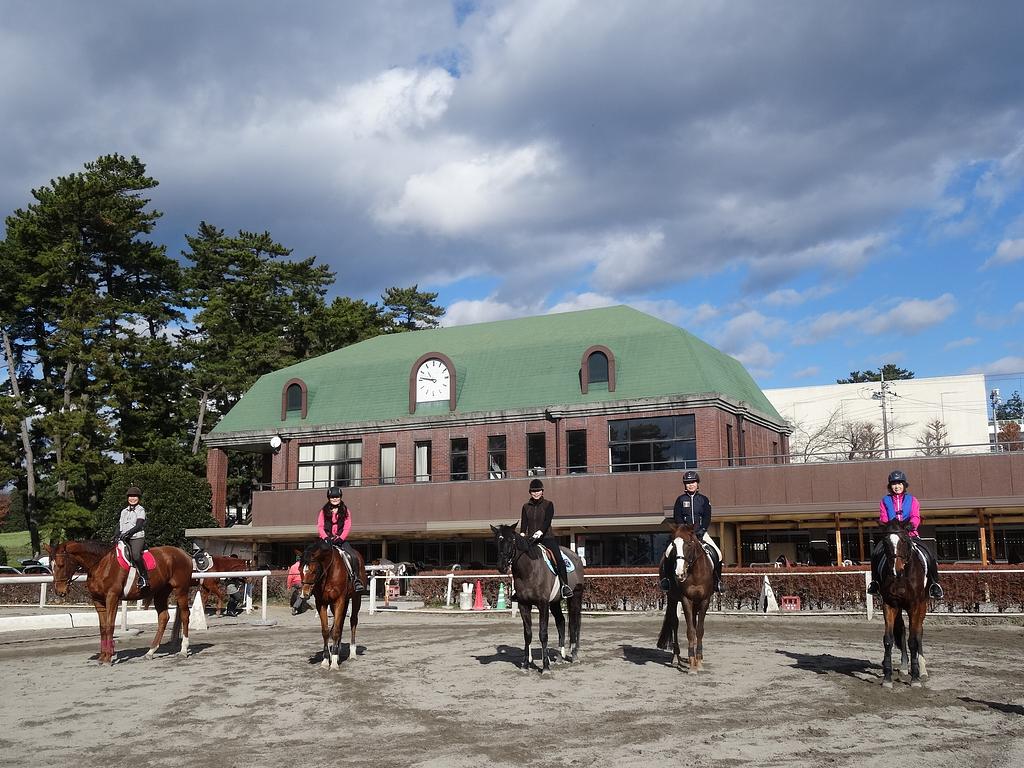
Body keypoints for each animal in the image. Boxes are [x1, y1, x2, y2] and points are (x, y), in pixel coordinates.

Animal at [49, 540, 193, 667]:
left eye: (61, 565)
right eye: (51, 566)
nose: (59, 591)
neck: (100, 564)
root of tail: (184, 553)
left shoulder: (112, 597)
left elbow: (109, 626)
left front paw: (108, 658)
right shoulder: (98, 600)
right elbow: (102, 628)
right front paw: (102, 657)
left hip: (181, 590)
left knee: (185, 615)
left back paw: (183, 650)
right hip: (161, 592)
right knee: (163, 617)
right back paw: (150, 652)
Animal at [299, 540, 366, 671]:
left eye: (314, 571)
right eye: (300, 570)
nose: (305, 594)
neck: (329, 572)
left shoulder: (339, 601)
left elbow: (335, 631)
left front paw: (334, 663)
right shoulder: (322, 603)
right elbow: (326, 631)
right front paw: (326, 660)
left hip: (356, 598)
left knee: (353, 621)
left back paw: (352, 653)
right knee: (340, 624)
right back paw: (338, 652)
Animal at [493, 524, 589, 671]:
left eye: (511, 540)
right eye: (497, 541)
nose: (501, 566)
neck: (528, 571)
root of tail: (576, 557)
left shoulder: (543, 604)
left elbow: (543, 634)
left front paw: (545, 667)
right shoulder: (523, 605)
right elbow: (527, 634)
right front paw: (526, 665)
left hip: (575, 597)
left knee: (573, 623)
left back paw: (574, 655)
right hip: (555, 602)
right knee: (561, 622)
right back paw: (560, 657)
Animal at [655, 524, 712, 671]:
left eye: (689, 544)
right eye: (674, 545)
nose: (679, 573)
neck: (695, 572)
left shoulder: (705, 600)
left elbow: (699, 630)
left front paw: (699, 661)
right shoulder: (686, 600)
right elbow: (690, 631)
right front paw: (692, 665)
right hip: (672, 598)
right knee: (674, 623)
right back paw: (676, 657)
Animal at [876, 520, 933, 688]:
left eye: (904, 540)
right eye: (885, 542)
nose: (896, 569)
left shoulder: (915, 605)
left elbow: (913, 640)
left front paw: (915, 678)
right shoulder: (889, 605)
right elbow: (888, 640)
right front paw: (887, 678)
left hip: (922, 605)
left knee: (919, 632)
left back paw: (922, 670)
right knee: (901, 630)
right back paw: (903, 667)